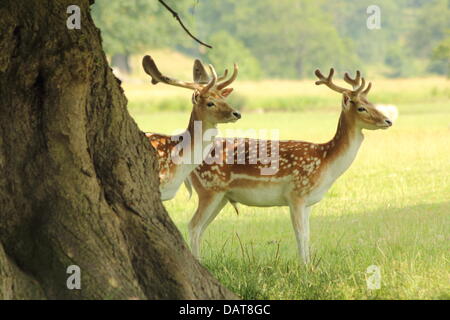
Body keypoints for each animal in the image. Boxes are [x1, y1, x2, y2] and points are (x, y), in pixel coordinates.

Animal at [186, 67, 398, 262]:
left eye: (371, 102)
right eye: (361, 107)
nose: (388, 121)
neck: (326, 163)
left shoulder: (309, 202)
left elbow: (308, 235)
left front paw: (310, 265)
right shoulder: (296, 194)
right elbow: (300, 235)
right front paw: (304, 268)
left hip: (222, 196)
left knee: (200, 228)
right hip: (209, 188)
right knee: (193, 226)